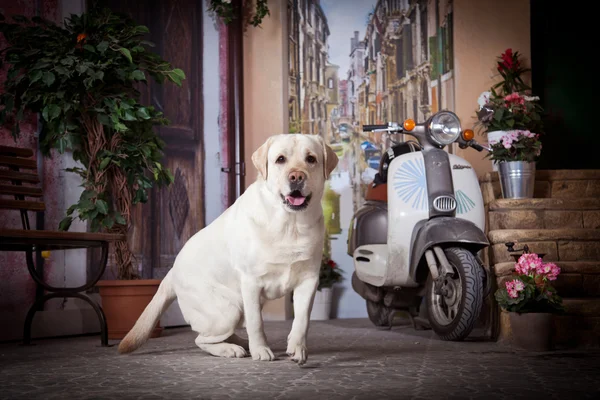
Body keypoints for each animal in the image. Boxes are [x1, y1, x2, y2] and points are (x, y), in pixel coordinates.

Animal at [117, 133, 338, 364]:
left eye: (311, 159)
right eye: (280, 159)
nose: (296, 176)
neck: (290, 223)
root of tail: (171, 272)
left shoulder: (308, 280)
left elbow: (302, 320)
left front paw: (297, 349)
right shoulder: (251, 282)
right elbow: (256, 323)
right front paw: (261, 350)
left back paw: (241, 343)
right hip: (229, 309)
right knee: (201, 340)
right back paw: (232, 349)